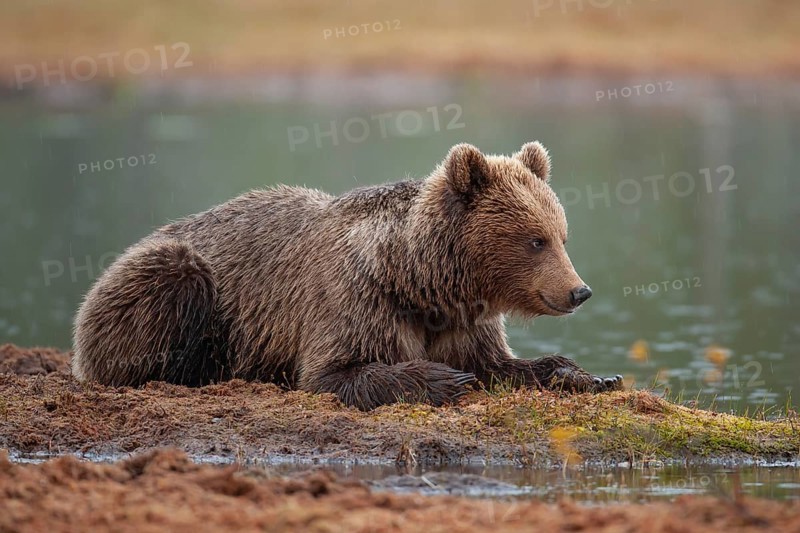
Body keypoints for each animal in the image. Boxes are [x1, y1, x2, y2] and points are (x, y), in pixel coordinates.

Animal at [72, 142, 623, 410]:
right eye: (535, 240)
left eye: (561, 235)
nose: (579, 291)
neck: (417, 279)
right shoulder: (354, 297)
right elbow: (334, 372)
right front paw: (442, 379)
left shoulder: (460, 321)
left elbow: (497, 364)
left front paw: (588, 374)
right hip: (172, 279)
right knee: (170, 288)